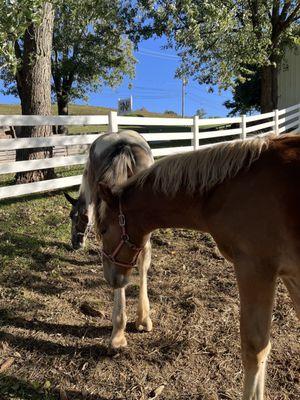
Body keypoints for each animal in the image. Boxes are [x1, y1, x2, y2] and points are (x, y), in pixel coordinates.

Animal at [65, 130, 155, 346]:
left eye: (72, 216)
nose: (75, 243)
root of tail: (124, 144)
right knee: (139, 262)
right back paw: (142, 319)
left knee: (119, 275)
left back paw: (118, 331)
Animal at [95, 134, 300, 400]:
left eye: (103, 229)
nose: (111, 278)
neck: (227, 189)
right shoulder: (290, 275)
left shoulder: (255, 269)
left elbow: (255, 348)